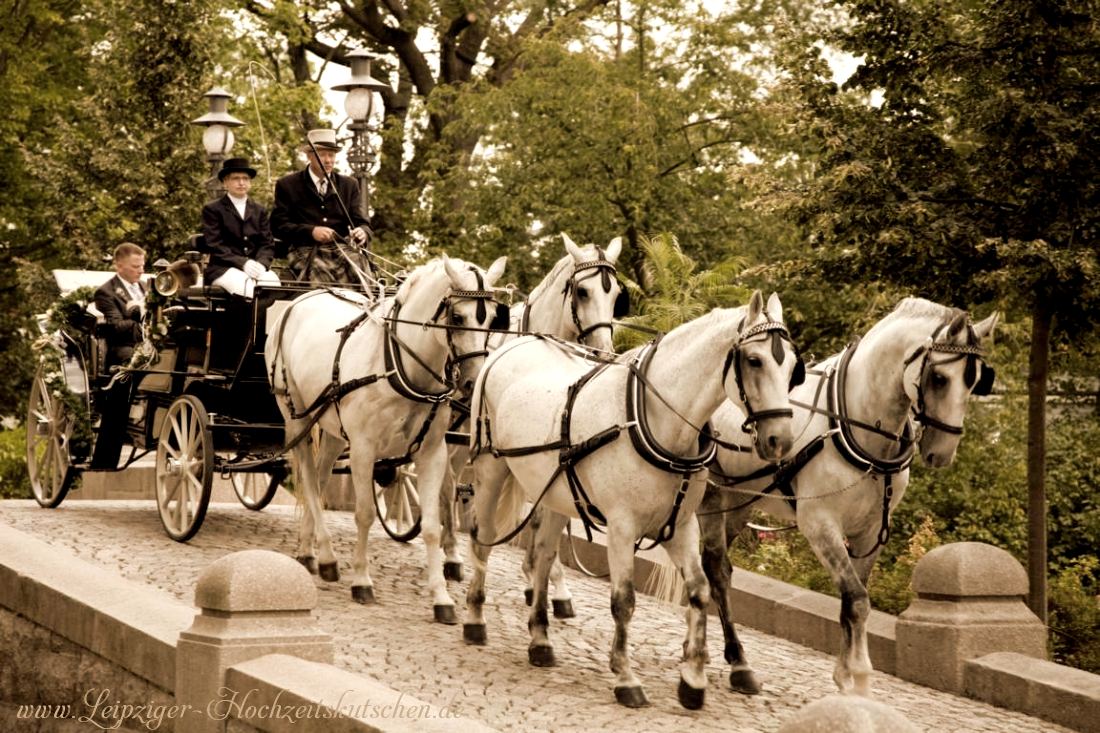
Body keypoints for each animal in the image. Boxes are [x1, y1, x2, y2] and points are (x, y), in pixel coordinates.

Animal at [264, 254, 508, 620]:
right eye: (456, 316)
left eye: (492, 317)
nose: (473, 381)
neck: (400, 365)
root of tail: (302, 298)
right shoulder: (364, 449)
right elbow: (364, 514)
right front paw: (362, 581)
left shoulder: (431, 453)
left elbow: (432, 526)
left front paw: (441, 597)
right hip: (296, 418)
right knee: (308, 479)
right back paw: (327, 555)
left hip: (334, 431)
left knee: (319, 481)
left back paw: (311, 552)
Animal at [437, 234, 629, 616]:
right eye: (582, 292)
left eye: (617, 295)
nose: (603, 351)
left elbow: (542, 516)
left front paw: (547, 583)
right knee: (446, 484)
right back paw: (450, 555)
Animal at [464, 290, 800, 708]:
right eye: (754, 360)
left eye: (793, 367)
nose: (780, 440)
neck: (654, 422)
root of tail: (517, 344)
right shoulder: (622, 527)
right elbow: (623, 600)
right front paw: (626, 677)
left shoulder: (681, 525)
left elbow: (699, 591)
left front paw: (693, 680)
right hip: (491, 469)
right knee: (482, 539)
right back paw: (474, 618)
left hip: (556, 491)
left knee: (541, 556)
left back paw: (540, 639)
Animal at [699, 294, 1003, 695]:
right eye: (939, 378)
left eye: (976, 381)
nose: (942, 453)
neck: (856, 424)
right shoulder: (820, 525)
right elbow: (857, 598)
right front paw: (858, 675)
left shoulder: (870, 532)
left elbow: (853, 599)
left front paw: (845, 674)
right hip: (710, 499)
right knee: (715, 570)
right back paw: (734, 659)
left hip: (737, 502)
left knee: (717, 568)